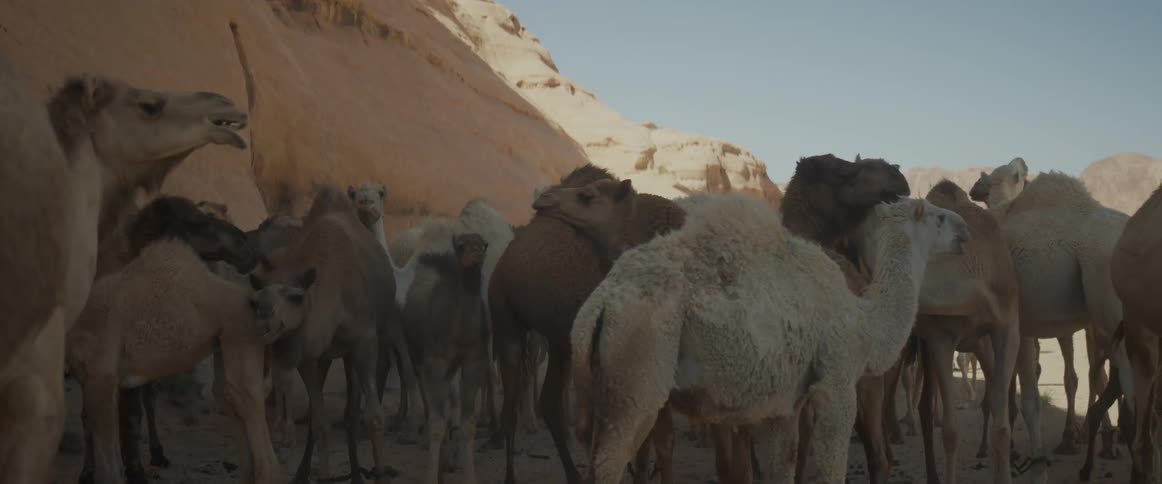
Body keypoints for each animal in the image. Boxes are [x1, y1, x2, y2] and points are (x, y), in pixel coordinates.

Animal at [67, 196, 277, 484]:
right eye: (197, 222)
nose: (246, 244)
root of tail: (253, 301)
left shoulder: (102, 375)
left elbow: (113, 457)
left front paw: (134, 471)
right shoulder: (90, 376)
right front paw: (88, 473)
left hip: (241, 338)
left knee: (247, 405)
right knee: (228, 397)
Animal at [254, 184, 417, 484]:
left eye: (296, 298)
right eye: (257, 301)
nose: (267, 322)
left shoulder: (365, 341)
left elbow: (374, 416)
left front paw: (380, 472)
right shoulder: (309, 355)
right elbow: (319, 423)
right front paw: (320, 473)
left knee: (359, 403)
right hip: (330, 354)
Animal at [398, 232, 490, 484]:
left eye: (484, 245)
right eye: (461, 245)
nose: (476, 255)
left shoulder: (472, 361)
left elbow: (468, 424)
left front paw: (468, 476)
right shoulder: (436, 362)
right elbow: (437, 424)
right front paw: (432, 475)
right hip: (418, 356)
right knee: (430, 404)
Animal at [488, 164, 685, 484]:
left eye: (587, 196)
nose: (544, 199)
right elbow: (655, 435)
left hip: (559, 340)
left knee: (549, 402)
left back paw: (574, 474)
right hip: (506, 321)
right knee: (512, 405)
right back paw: (512, 476)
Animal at [567, 192, 969, 483]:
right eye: (939, 217)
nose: (965, 229)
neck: (865, 321)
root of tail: (601, 302)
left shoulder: (786, 404)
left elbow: (784, 463)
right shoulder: (837, 383)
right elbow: (831, 469)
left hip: (612, 379)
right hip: (641, 361)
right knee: (609, 462)